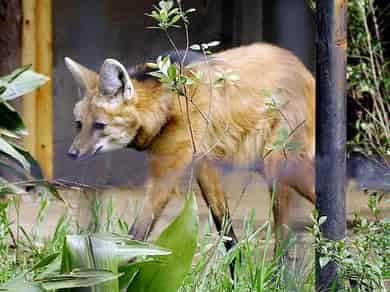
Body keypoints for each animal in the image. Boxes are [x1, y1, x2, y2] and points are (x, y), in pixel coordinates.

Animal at [66, 42, 316, 244]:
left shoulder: (170, 168)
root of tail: (306, 71)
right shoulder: (203, 163)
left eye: (99, 125)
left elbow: (139, 231)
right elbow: (225, 228)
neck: (167, 104)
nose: (72, 153)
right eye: (79, 124)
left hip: (278, 162)